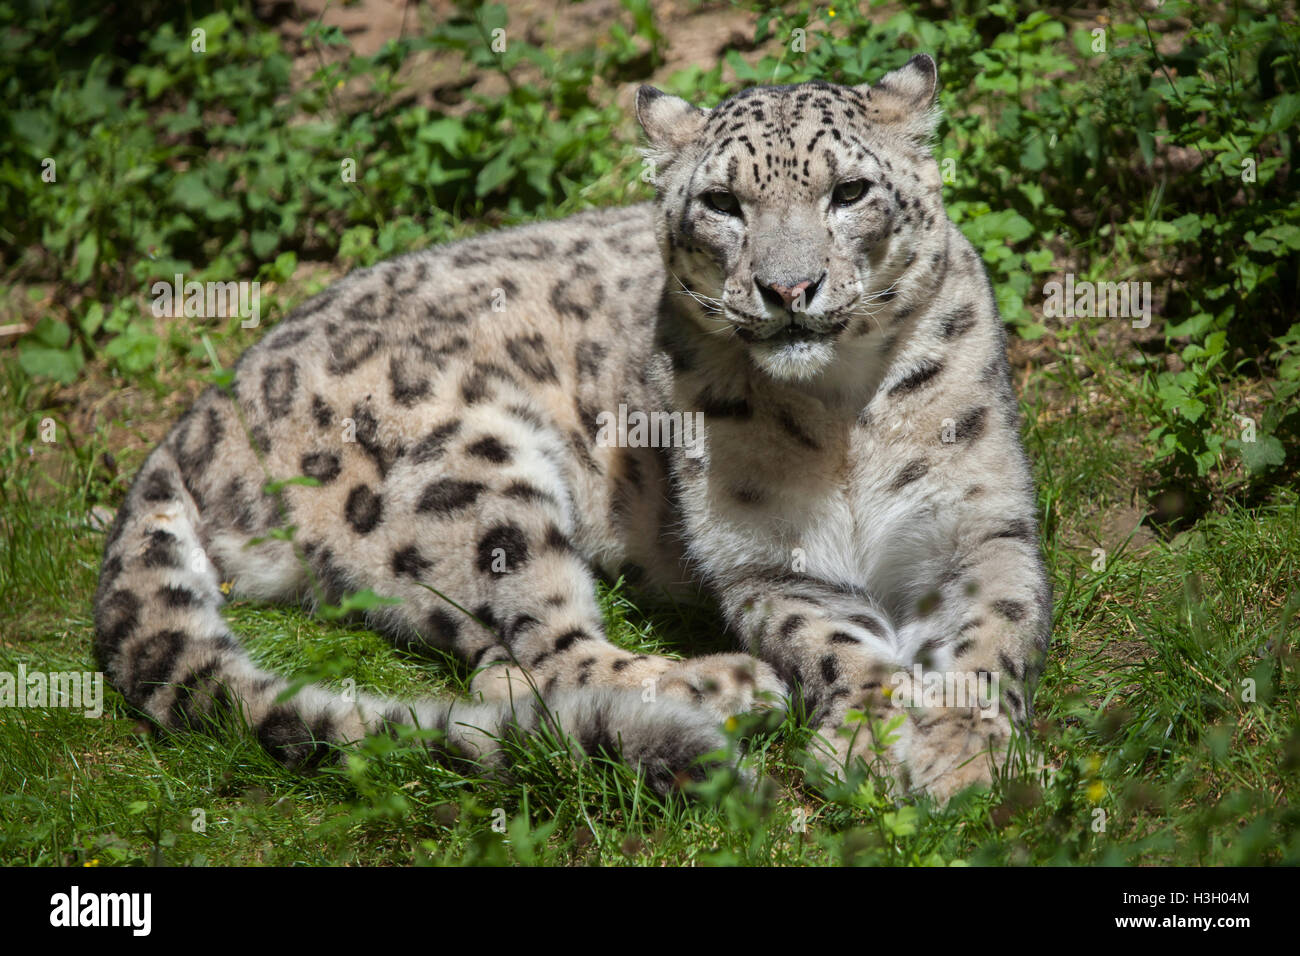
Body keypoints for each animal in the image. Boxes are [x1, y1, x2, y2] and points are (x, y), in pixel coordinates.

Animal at [91, 55, 1050, 806]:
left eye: (849, 192)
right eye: (722, 202)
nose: (788, 289)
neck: (840, 411)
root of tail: (202, 413)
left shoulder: (981, 521)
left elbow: (996, 628)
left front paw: (964, 749)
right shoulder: (768, 559)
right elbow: (835, 644)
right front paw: (883, 736)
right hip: (466, 474)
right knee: (541, 649)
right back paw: (718, 685)